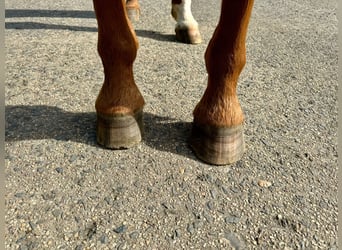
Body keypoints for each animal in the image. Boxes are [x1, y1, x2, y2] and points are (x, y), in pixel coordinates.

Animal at [92, 0, 252, 165]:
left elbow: (230, 51)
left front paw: (221, 117)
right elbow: (117, 40)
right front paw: (119, 105)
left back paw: (186, 24)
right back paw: (131, 8)